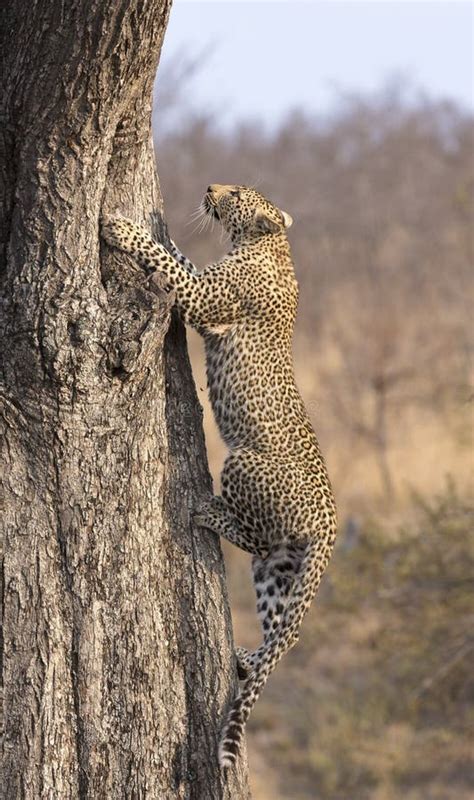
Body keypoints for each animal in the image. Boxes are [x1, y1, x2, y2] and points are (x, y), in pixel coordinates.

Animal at [101, 184, 336, 772]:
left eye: (238, 194)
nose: (210, 187)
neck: (270, 243)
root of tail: (330, 523)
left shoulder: (207, 300)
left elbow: (168, 266)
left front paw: (122, 228)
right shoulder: (206, 290)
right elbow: (179, 258)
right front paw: (154, 230)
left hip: (242, 462)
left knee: (249, 533)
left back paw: (205, 511)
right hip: (279, 569)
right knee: (281, 628)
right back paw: (248, 658)